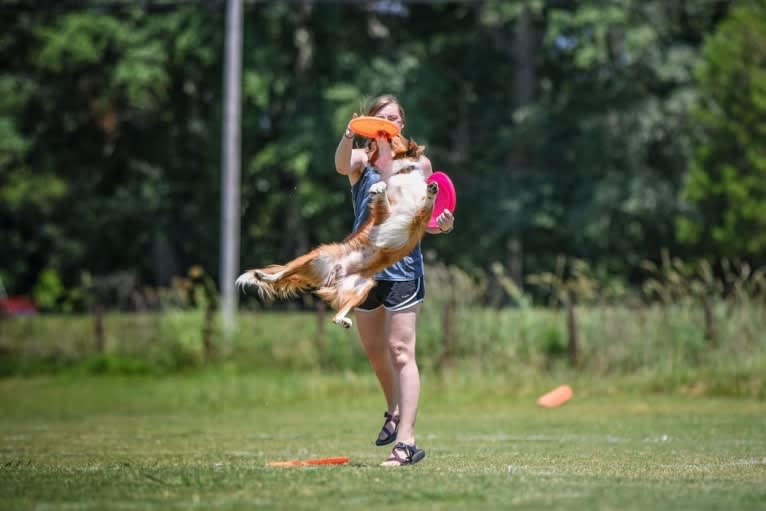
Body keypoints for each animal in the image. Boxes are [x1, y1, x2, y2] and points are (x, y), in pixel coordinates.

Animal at [234, 135, 438, 328]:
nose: (372, 142)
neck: (404, 172)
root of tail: (337, 272)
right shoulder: (385, 214)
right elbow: (384, 195)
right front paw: (379, 187)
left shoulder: (419, 219)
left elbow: (428, 203)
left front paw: (432, 189)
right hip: (316, 256)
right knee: (284, 271)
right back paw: (265, 275)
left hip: (362, 287)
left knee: (335, 316)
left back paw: (343, 320)